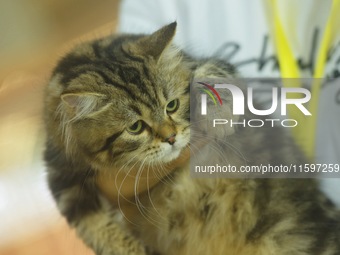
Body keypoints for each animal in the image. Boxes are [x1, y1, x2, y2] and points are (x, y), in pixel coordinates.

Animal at [45, 22, 340, 255]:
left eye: (172, 106)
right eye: (136, 127)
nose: (171, 137)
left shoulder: (205, 65)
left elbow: (212, 74)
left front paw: (218, 114)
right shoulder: (64, 180)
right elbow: (98, 229)